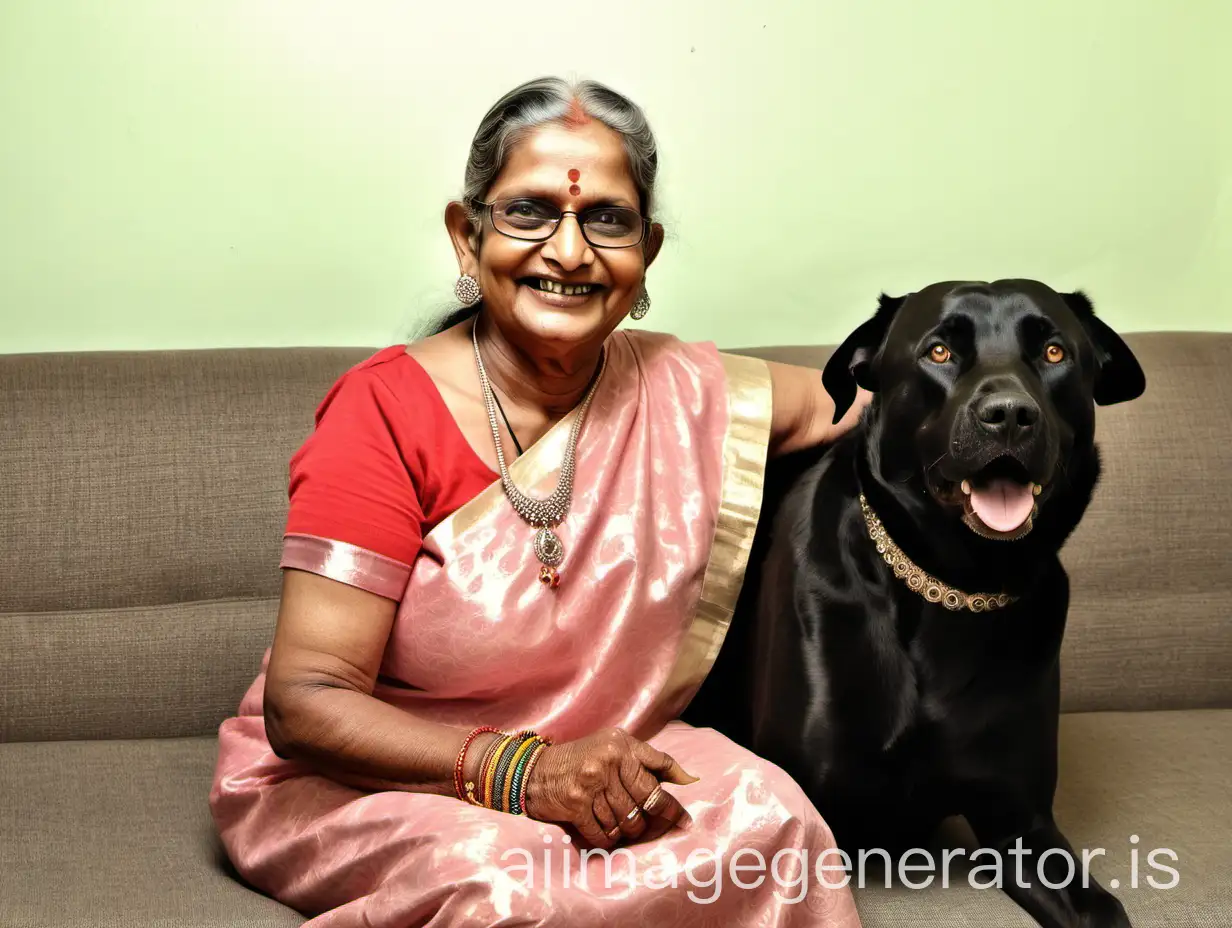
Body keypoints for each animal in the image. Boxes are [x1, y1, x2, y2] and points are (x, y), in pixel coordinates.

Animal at [684, 280, 1143, 926]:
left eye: (1054, 352)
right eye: (939, 352)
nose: (1009, 416)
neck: (954, 583)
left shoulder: (1023, 827)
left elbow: (1104, 910)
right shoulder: (809, 818)